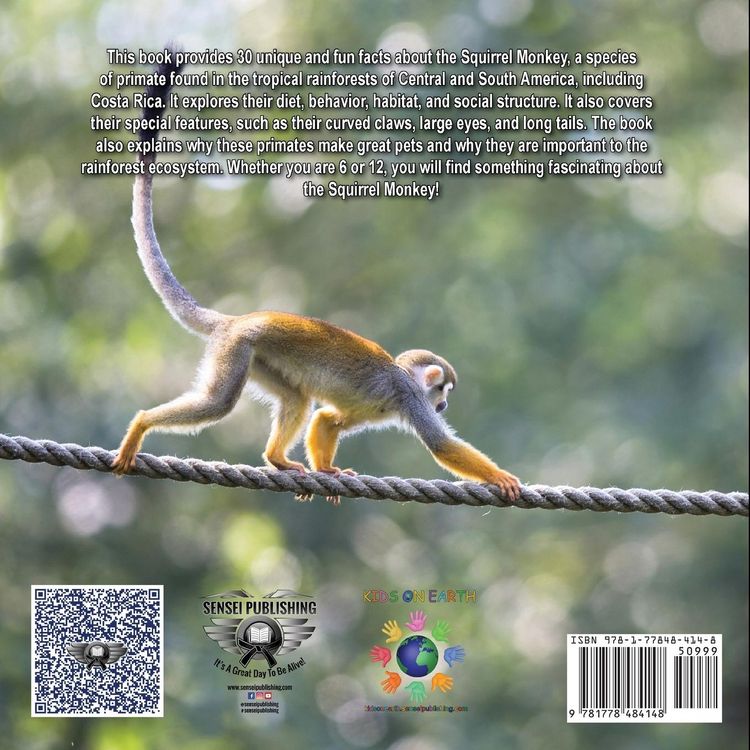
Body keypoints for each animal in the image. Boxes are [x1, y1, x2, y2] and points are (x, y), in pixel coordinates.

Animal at [111, 54, 521, 504]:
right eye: (442, 391)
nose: (443, 407)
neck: (402, 376)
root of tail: (236, 319)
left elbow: (328, 417)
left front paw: (327, 471)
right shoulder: (410, 396)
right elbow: (441, 444)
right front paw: (500, 477)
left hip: (258, 356)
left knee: (298, 397)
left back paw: (276, 459)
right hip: (236, 349)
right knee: (219, 402)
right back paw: (143, 423)